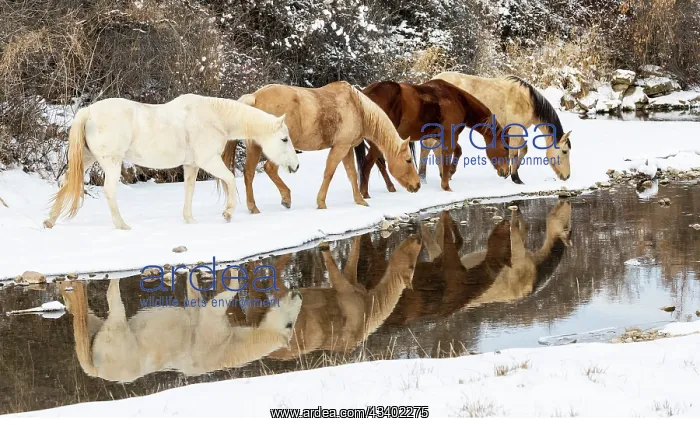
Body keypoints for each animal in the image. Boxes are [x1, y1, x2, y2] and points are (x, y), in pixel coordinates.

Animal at [42, 94, 300, 230]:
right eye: (284, 139)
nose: (296, 166)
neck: (215, 117)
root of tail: (88, 112)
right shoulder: (209, 161)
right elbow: (229, 180)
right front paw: (227, 213)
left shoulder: (191, 165)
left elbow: (189, 190)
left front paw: (189, 219)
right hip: (111, 163)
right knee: (109, 191)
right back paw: (122, 225)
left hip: (87, 159)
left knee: (66, 182)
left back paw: (50, 221)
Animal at [220, 81, 421, 213]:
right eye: (408, 160)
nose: (417, 185)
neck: (357, 107)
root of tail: (254, 98)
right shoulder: (340, 147)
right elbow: (329, 173)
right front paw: (321, 202)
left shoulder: (346, 149)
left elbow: (352, 174)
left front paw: (359, 200)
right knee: (269, 168)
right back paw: (286, 198)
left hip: (254, 147)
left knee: (249, 173)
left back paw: (253, 207)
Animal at [353, 79, 510, 198]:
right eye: (504, 148)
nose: (506, 172)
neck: (457, 100)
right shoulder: (449, 136)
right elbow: (447, 157)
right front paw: (446, 186)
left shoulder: (439, 136)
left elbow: (457, 151)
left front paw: (449, 172)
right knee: (367, 163)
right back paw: (365, 194)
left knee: (379, 163)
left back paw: (390, 187)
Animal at [433, 72, 572, 184]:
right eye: (565, 151)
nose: (567, 176)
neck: (527, 101)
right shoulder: (515, 129)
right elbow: (514, 153)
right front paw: (516, 178)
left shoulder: (515, 131)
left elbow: (524, 149)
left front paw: (511, 172)